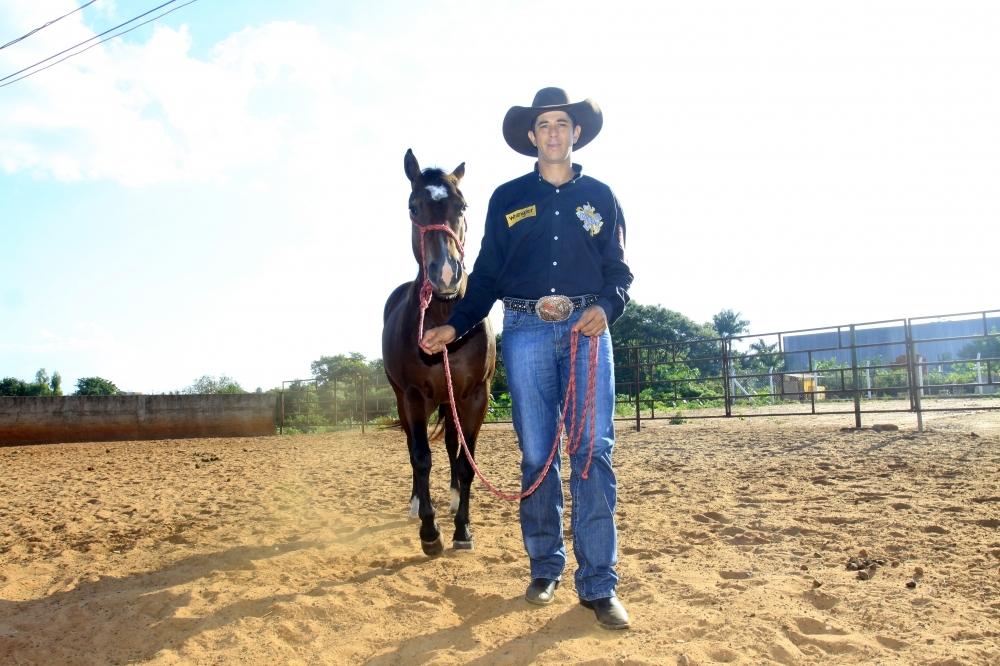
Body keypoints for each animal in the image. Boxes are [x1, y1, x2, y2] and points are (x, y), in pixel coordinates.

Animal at [380, 148, 494, 552]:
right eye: (413, 206)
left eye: (463, 205)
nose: (446, 273)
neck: (446, 317)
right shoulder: (414, 396)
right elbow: (421, 458)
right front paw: (430, 532)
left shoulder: (475, 396)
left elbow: (464, 460)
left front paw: (463, 529)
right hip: (405, 398)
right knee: (416, 451)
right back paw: (417, 505)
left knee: (450, 446)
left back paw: (455, 499)